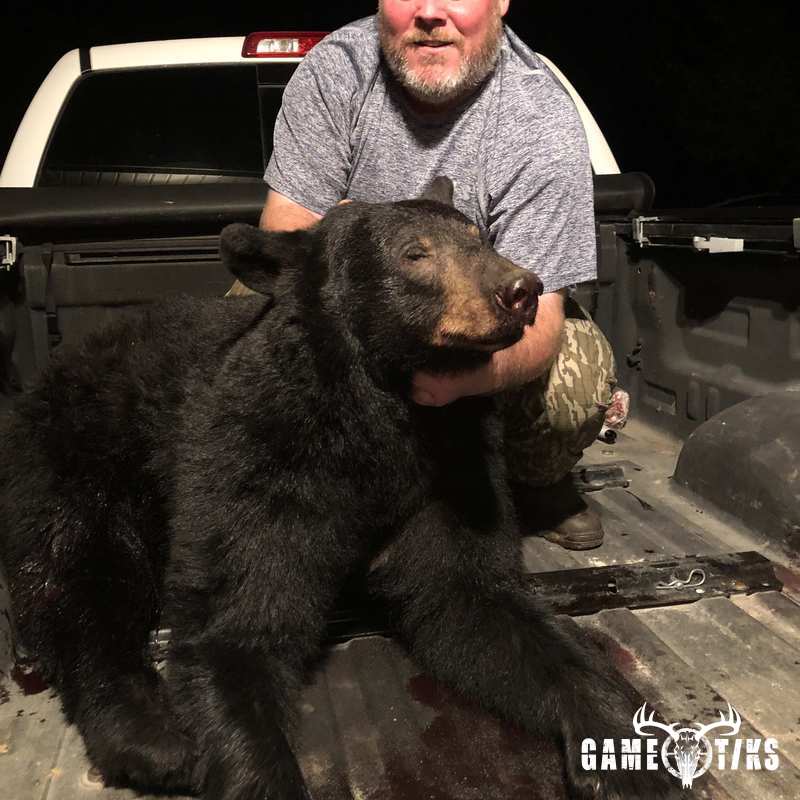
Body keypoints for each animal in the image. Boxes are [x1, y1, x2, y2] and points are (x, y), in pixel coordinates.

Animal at [0, 178, 679, 800]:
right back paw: (150, 736)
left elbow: (471, 595)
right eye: (414, 253)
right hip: (83, 451)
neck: (377, 412)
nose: (520, 289)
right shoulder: (259, 448)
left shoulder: (450, 462)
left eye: (482, 238)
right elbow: (237, 622)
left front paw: (627, 752)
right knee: (82, 572)